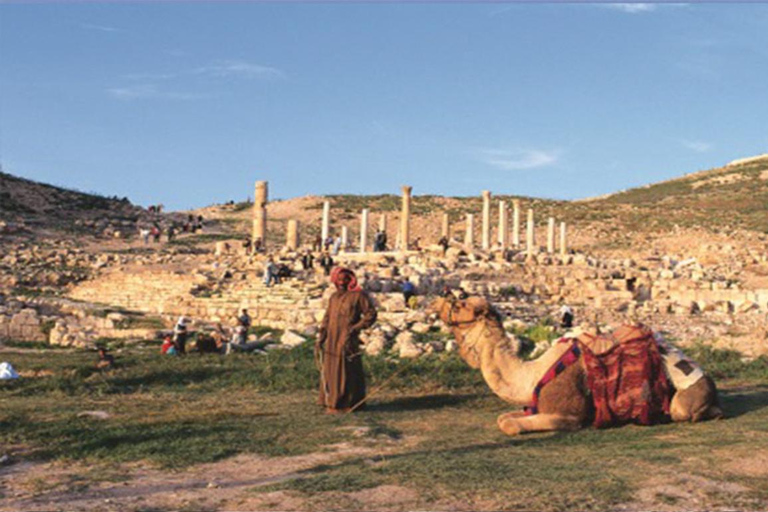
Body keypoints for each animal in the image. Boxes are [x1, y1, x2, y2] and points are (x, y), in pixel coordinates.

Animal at [436, 296, 724, 436]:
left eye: (461, 304)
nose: (436, 302)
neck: (531, 375)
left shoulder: (568, 416)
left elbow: (510, 426)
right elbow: (504, 418)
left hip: (684, 401)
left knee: (683, 411)